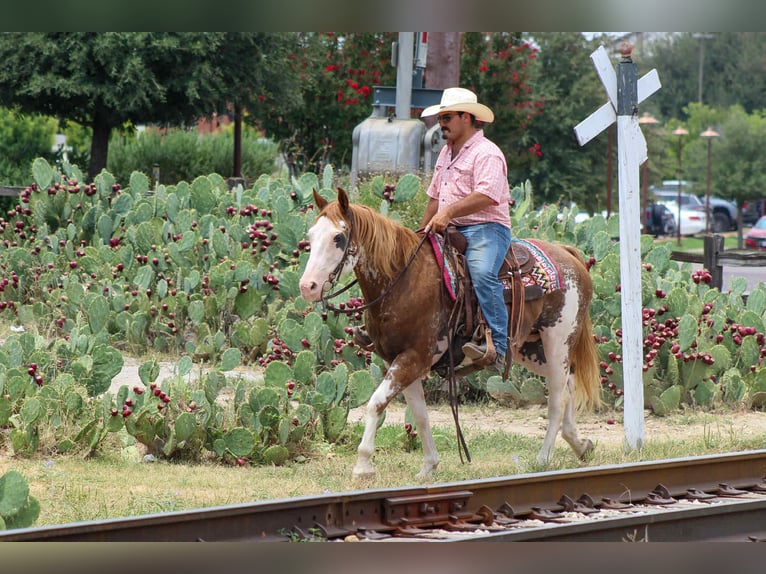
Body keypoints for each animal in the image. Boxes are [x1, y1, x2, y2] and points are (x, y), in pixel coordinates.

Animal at [299, 188, 601, 480]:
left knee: (557, 398)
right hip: (531, 349)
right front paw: (429, 466)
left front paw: (363, 467)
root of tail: (566, 253)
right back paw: (580, 444)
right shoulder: (400, 360)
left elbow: (375, 404)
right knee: (569, 383)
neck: (403, 280)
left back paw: (543, 458)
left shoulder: (414, 357)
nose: (307, 286)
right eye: (310, 236)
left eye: (338, 237)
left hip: (558, 341)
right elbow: (420, 415)